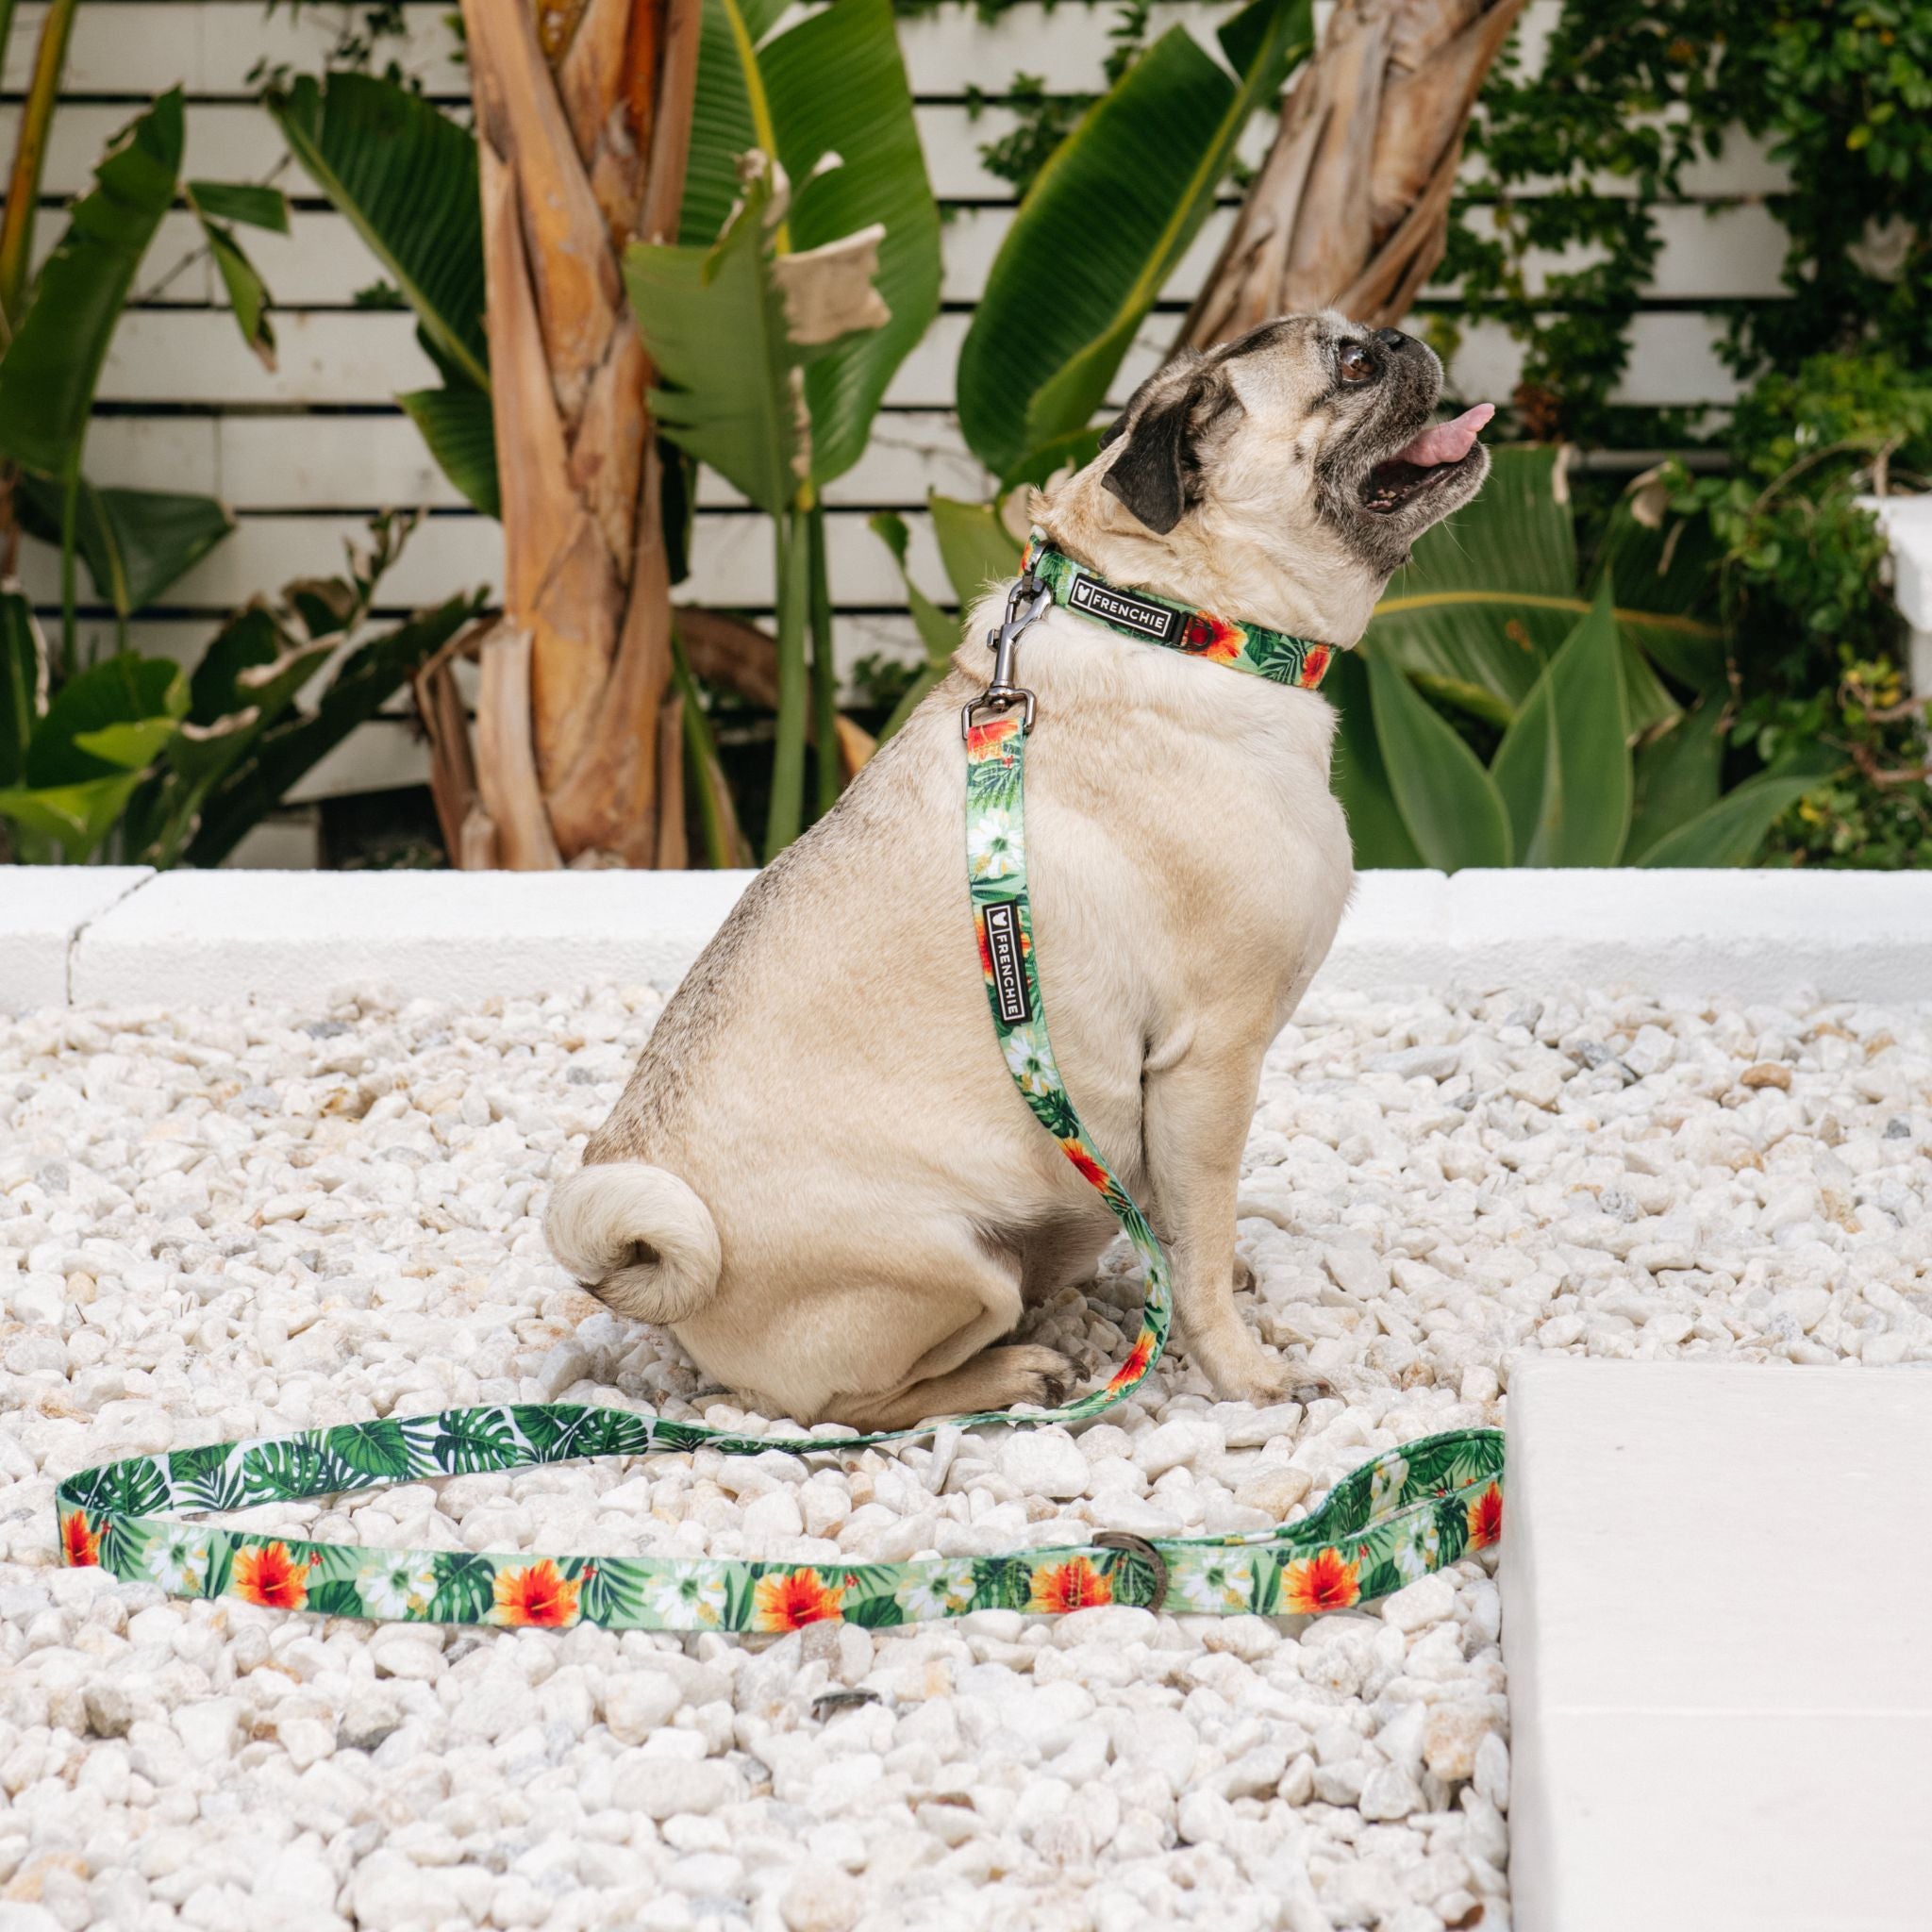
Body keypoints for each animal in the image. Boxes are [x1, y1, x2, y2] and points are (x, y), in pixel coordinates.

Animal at [547, 312, 1491, 1429]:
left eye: (1367, 341)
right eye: (1351, 367)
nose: (1403, 338)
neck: (1179, 617)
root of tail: (662, 1287)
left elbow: (1188, 1227)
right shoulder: (1209, 1059)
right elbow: (1204, 1231)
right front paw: (1241, 1369)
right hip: (955, 1268)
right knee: (852, 1405)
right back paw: (1008, 1376)